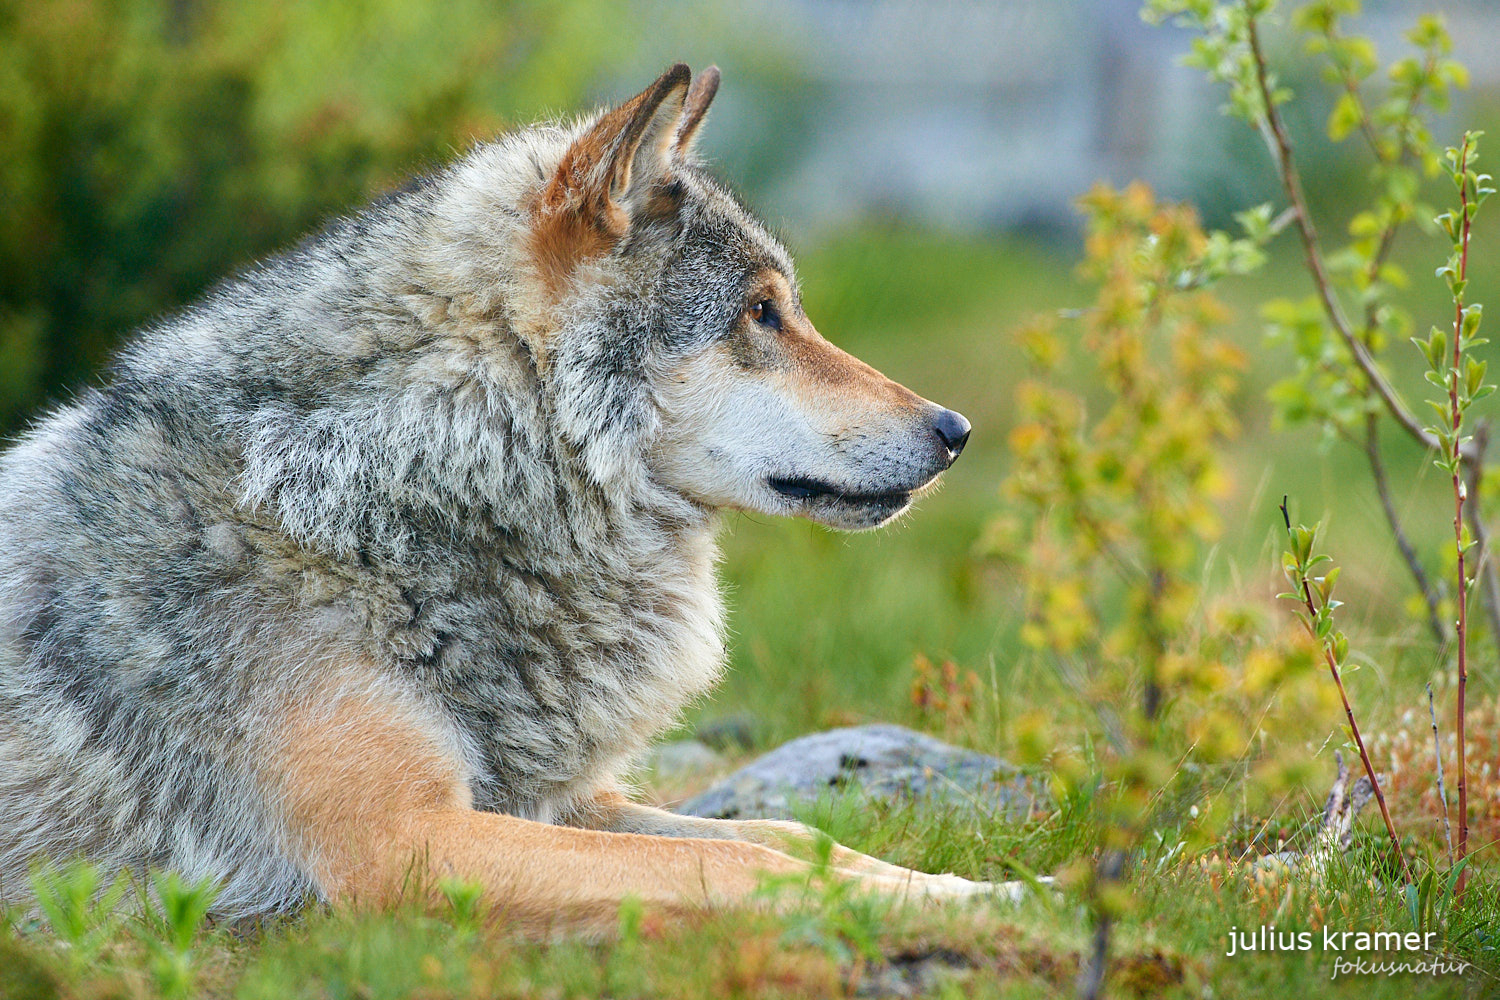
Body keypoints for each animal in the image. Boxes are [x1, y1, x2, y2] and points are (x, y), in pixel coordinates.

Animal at [0, 66, 996, 935]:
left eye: (787, 308)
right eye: (760, 313)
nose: (956, 429)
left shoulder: (557, 798)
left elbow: (791, 835)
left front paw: (986, 889)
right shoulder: (408, 842)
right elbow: (743, 860)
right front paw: (992, 906)